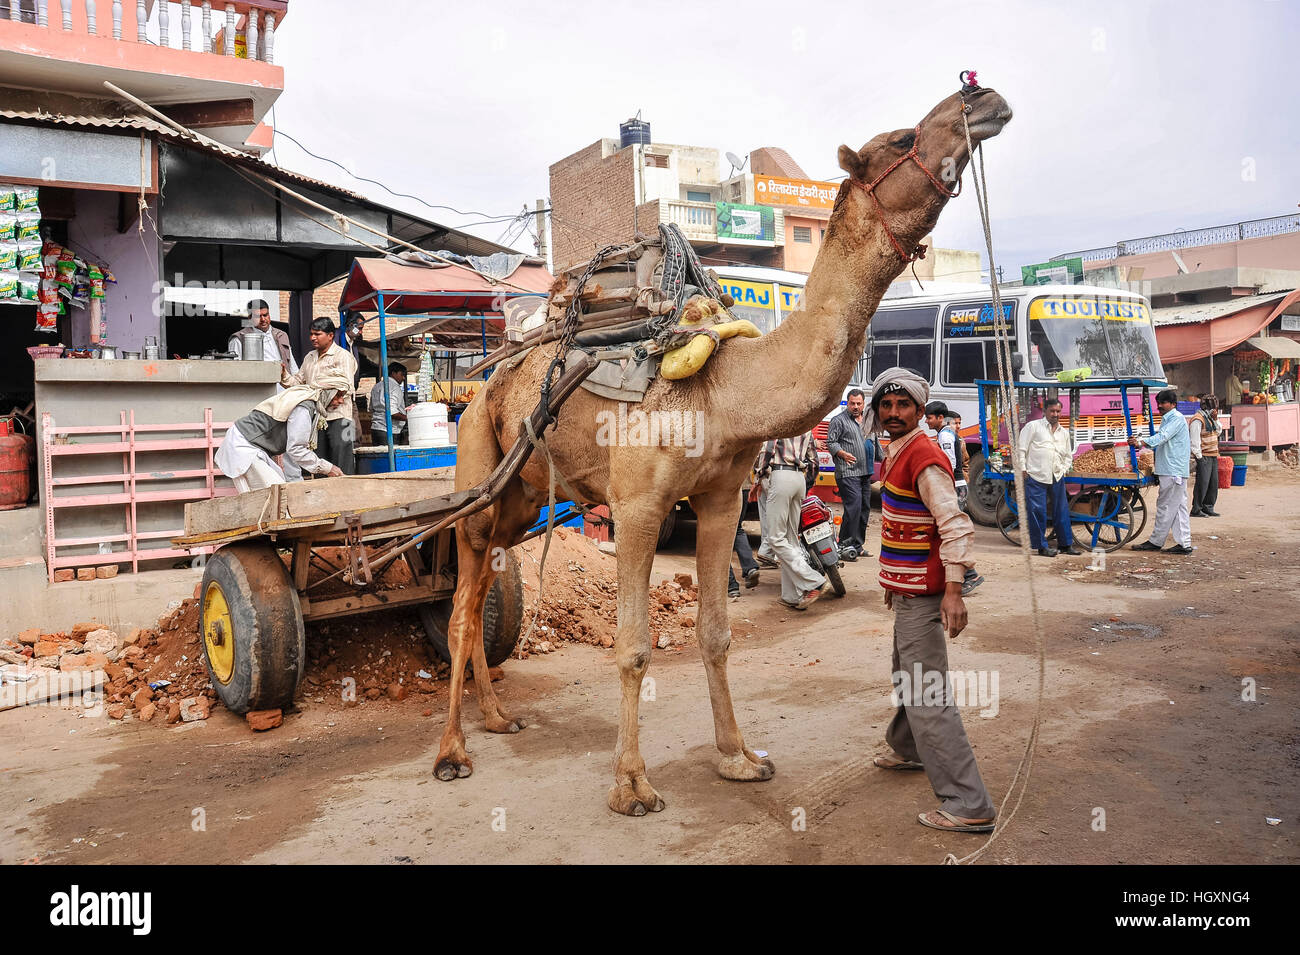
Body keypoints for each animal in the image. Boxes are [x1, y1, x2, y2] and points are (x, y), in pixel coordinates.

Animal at [436, 85, 1013, 814]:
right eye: (904, 137)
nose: (982, 96)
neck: (724, 391)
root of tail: (484, 383)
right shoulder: (636, 505)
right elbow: (632, 645)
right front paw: (632, 785)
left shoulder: (718, 498)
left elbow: (716, 632)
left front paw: (740, 757)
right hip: (477, 465)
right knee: (460, 604)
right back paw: (452, 752)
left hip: (523, 496)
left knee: (483, 583)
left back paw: (496, 717)